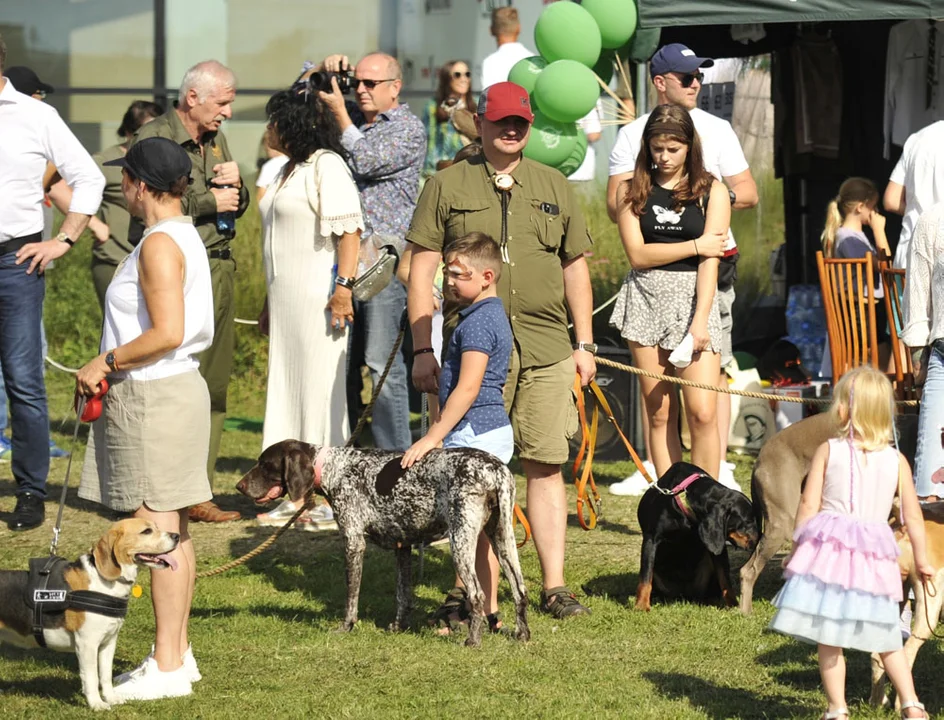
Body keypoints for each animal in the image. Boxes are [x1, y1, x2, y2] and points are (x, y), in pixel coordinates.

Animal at [0, 516, 179, 708]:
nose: (177, 536)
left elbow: (106, 675)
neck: (103, 581)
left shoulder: (108, 642)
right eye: (146, 531)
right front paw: (96, 704)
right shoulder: (87, 644)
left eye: (156, 527)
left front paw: (111, 698)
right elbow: (92, 677)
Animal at [236, 438, 532, 648]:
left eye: (265, 464)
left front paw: (346, 626)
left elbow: (351, 595)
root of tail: (495, 470)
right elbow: (403, 595)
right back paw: (522, 634)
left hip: (460, 543)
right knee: (520, 590)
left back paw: (473, 640)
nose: (239, 486)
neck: (334, 468)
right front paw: (398, 626)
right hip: (503, 540)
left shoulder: (353, 543)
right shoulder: (403, 547)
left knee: (478, 595)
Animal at [636, 464, 760, 612]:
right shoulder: (651, 539)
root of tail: (684, 595)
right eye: (748, 521)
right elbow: (645, 576)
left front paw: (733, 604)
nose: (759, 540)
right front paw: (641, 605)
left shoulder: (717, 544)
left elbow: (725, 578)